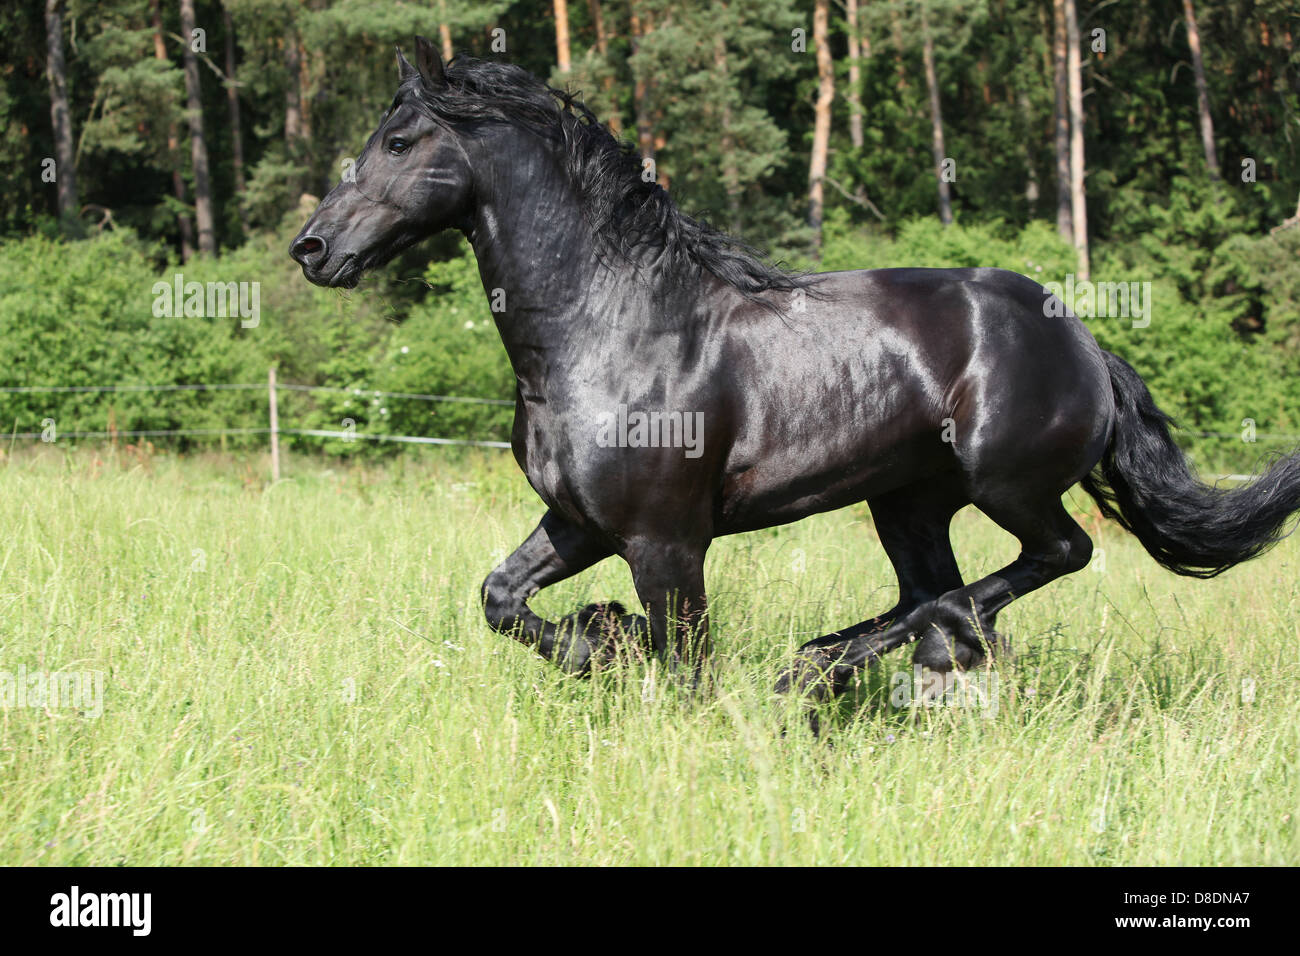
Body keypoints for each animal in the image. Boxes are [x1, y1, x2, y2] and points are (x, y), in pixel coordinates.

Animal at [291, 37, 1300, 708]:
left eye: (398, 142)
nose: (313, 249)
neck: (606, 328)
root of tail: (1085, 341)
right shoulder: (580, 523)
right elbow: (501, 599)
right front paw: (599, 640)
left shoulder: (665, 541)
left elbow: (686, 668)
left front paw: (618, 643)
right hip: (908, 501)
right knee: (935, 595)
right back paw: (844, 665)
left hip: (1006, 484)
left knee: (1050, 557)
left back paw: (848, 663)